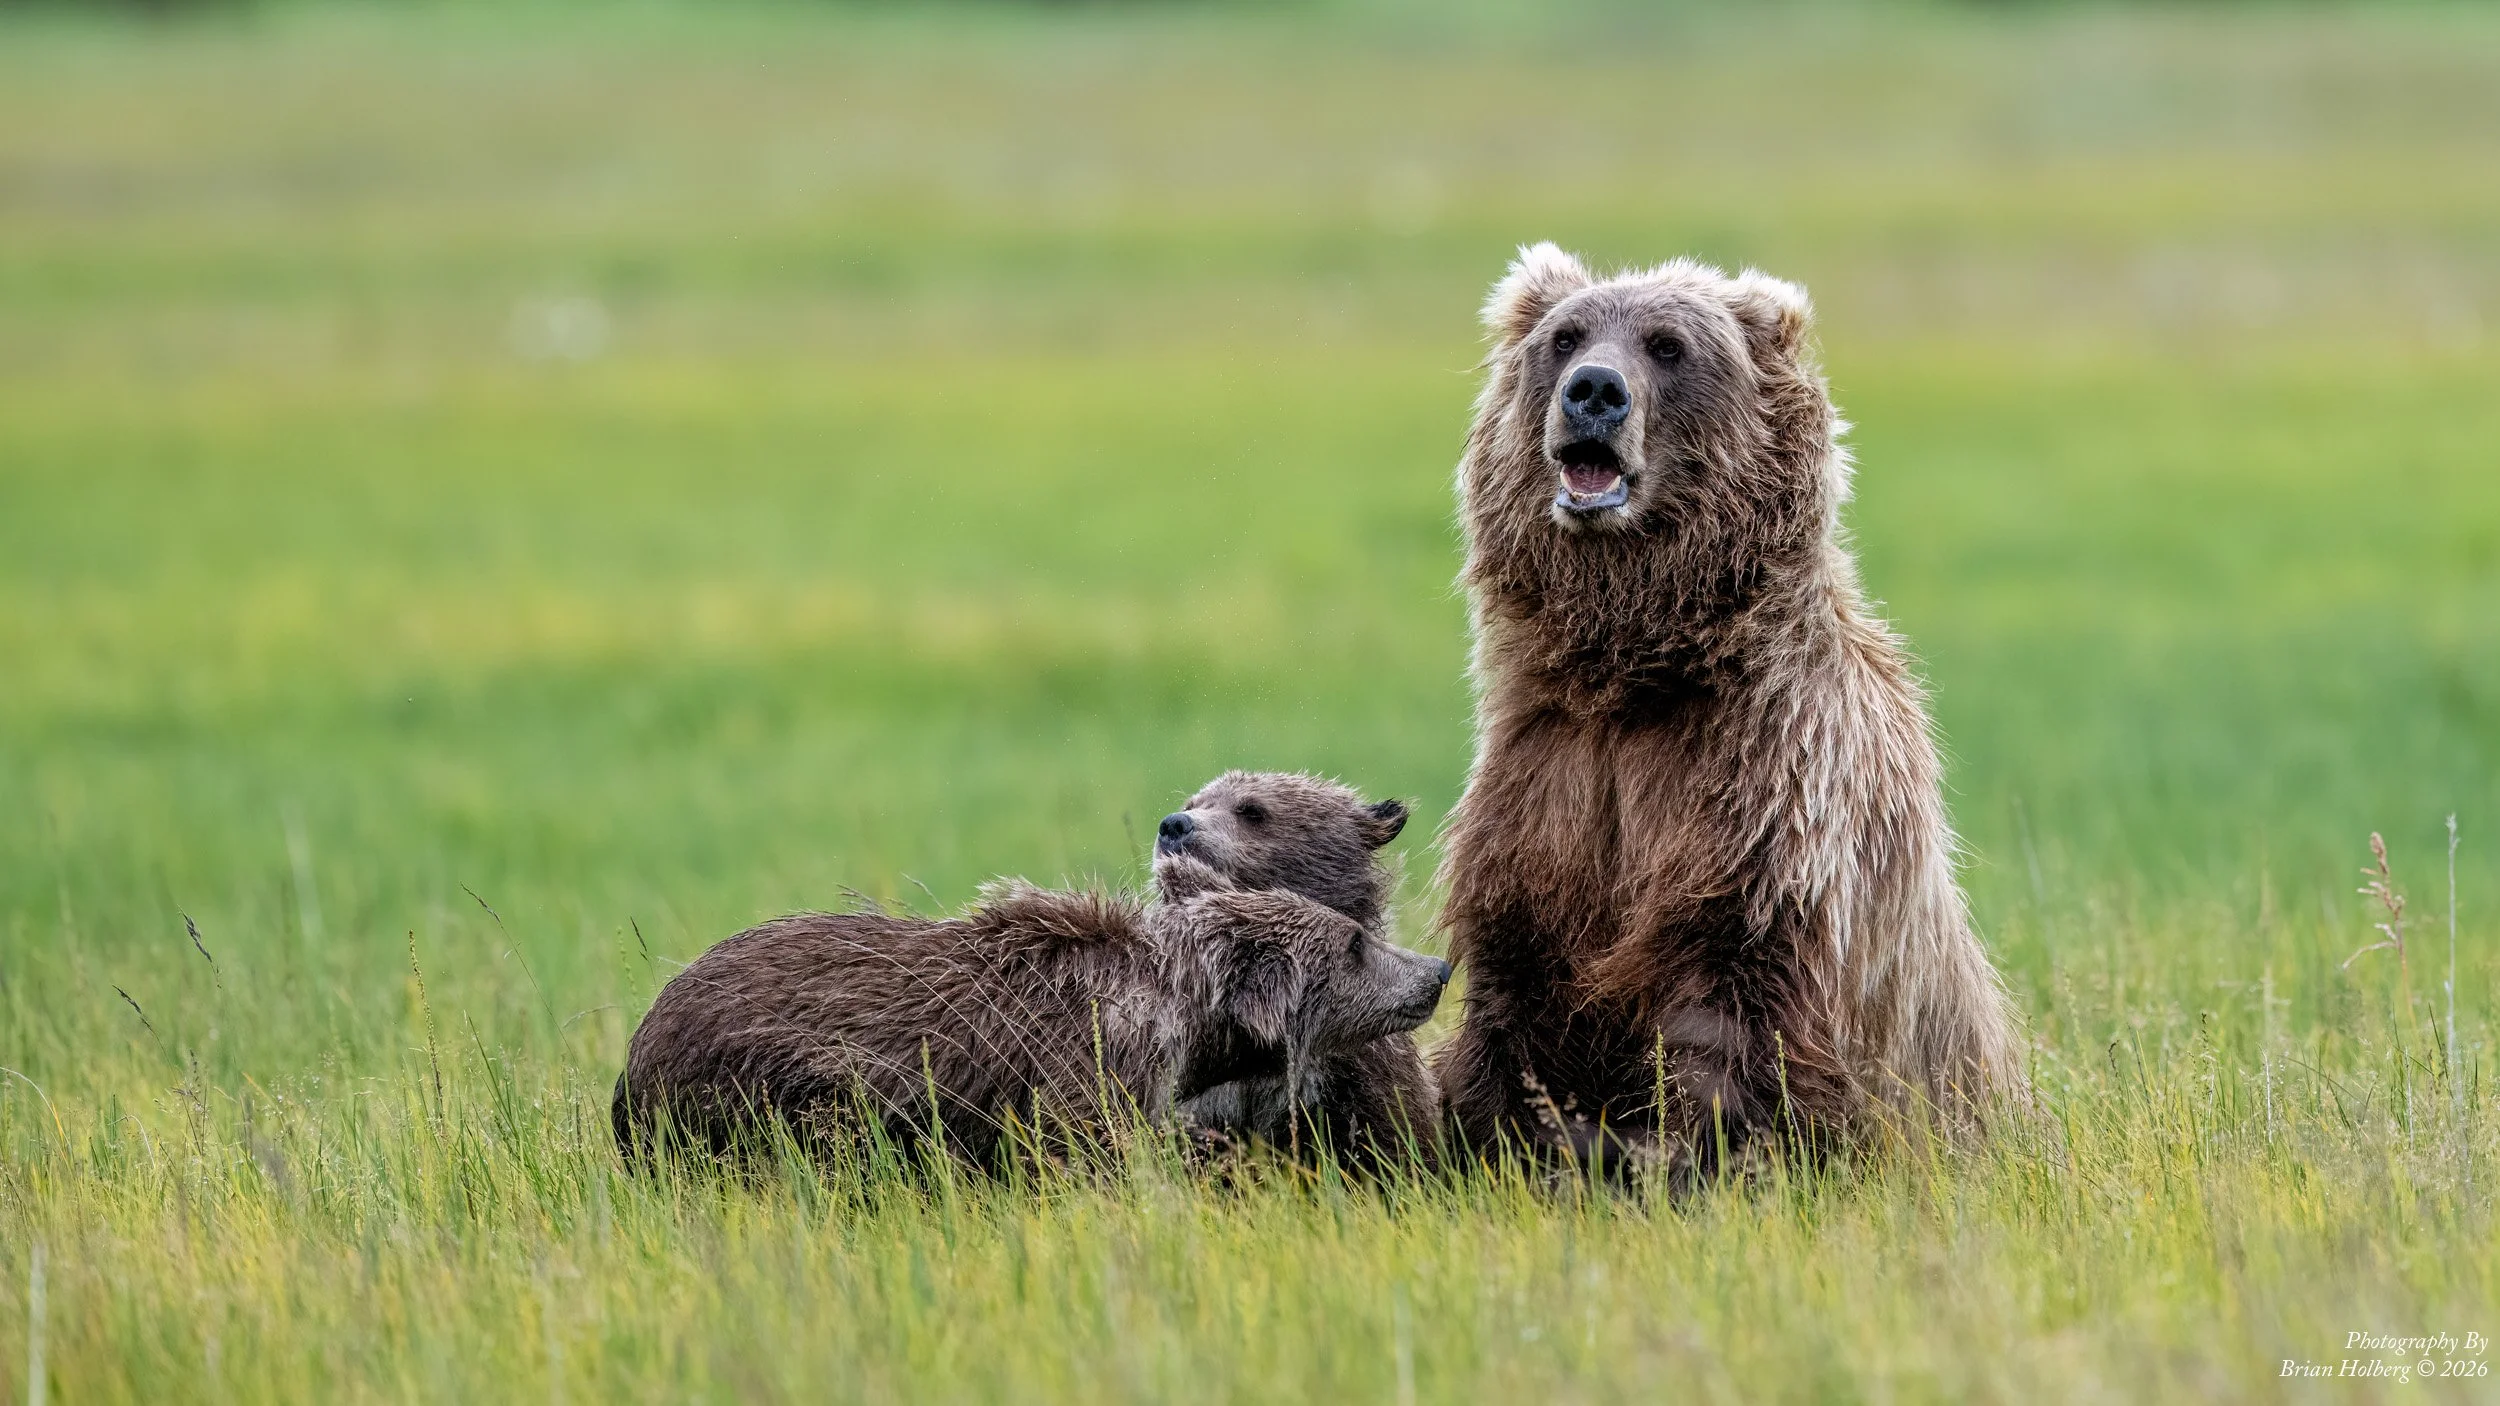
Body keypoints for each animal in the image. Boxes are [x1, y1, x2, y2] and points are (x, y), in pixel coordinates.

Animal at [1432, 244, 2022, 1179]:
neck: (1637, 676)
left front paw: (1678, 1156)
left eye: (1669, 346)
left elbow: (1732, 1020)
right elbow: (1515, 994)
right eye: (1566, 337)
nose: (1593, 390)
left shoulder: (1770, 801)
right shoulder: (1553, 783)